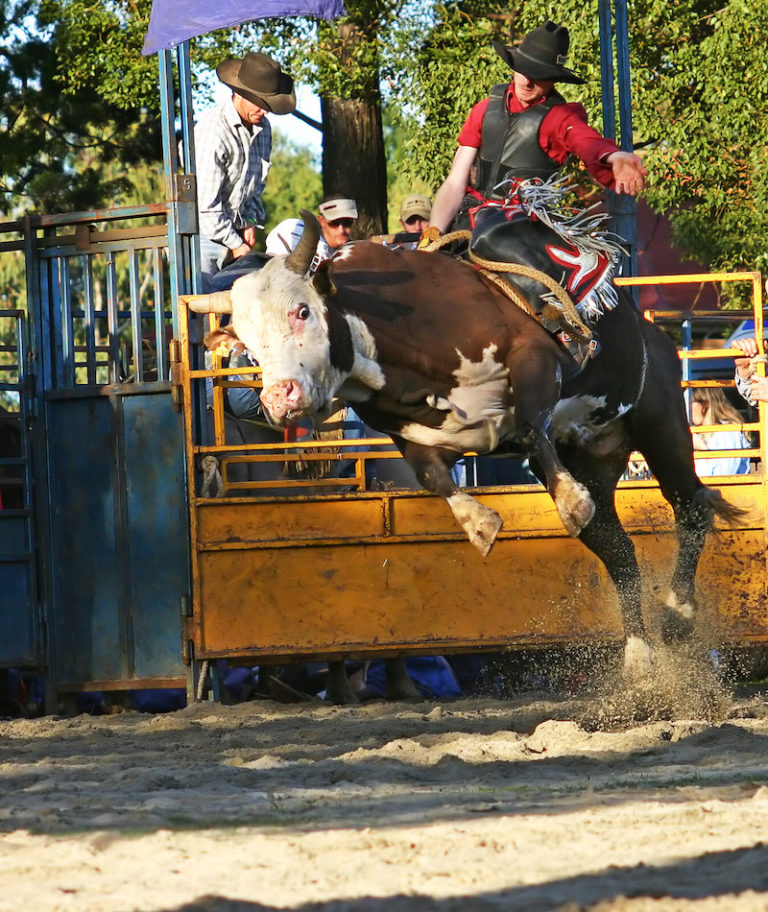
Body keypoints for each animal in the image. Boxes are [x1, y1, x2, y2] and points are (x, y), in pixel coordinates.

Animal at [190, 207, 744, 692]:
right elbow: (435, 477)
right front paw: (480, 523)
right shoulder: (415, 437)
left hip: (661, 421)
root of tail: (657, 333)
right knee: (618, 548)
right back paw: (639, 659)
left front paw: (566, 501)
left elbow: (531, 425)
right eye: (247, 342)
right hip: (596, 455)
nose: (279, 399)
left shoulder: (534, 357)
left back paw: (677, 614)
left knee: (691, 507)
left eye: (302, 310)